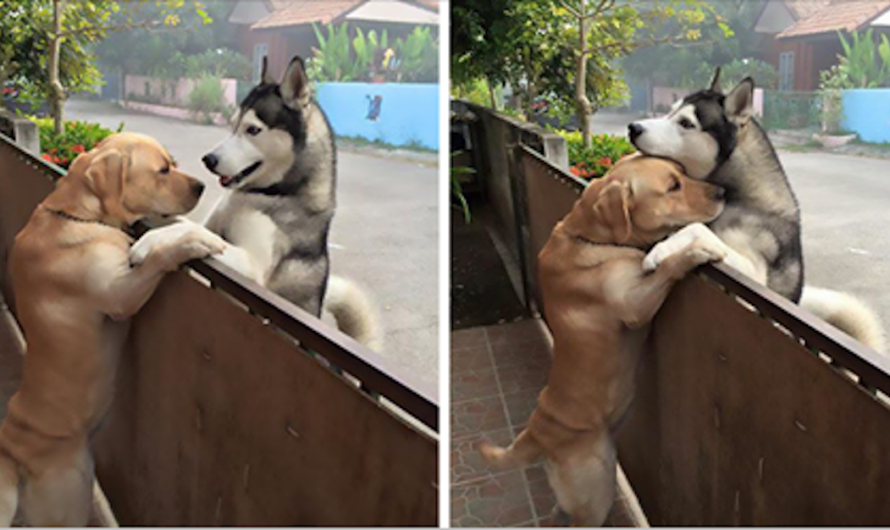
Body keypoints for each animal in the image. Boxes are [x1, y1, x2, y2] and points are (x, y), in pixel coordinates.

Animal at [0, 130, 229, 520]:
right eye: (163, 169)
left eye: (173, 163)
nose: (201, 186)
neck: (78, 215)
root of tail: (12, 453)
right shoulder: (120, 294)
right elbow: (156, 256)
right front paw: (193, 241)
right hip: (68, 500)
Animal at [628, 70, 884, 350]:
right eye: (670, 110)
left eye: (685, 123)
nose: (633, 127)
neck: (742, 197)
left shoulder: (753, 276)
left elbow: (697, 228)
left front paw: (660, 250)